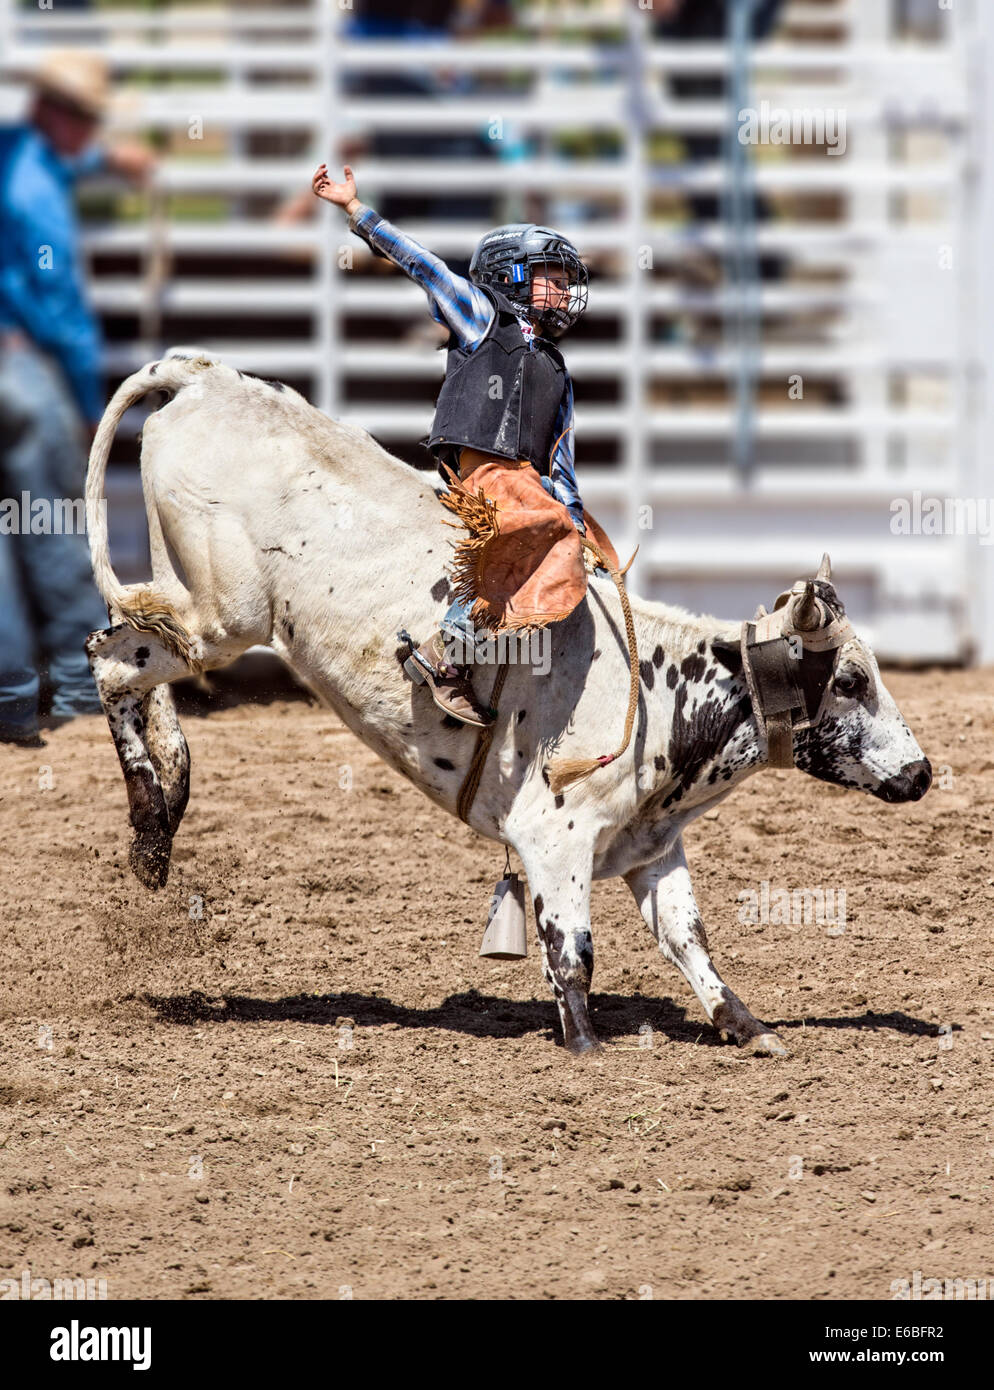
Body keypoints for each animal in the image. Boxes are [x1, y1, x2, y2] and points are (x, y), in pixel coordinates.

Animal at [83, 355, 934, 1050]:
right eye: (852, 681)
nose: (922, 772)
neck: (662, 689)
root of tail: (209, 378)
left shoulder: (650, 844)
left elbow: (687, 938)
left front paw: (746, 1025)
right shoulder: (555, 836)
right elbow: (572, 949)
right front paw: (585, 1044)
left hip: (190, 599)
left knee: (136, 655)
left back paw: (163, 817)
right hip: (226, 616)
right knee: (110, 663)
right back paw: (150, 825)